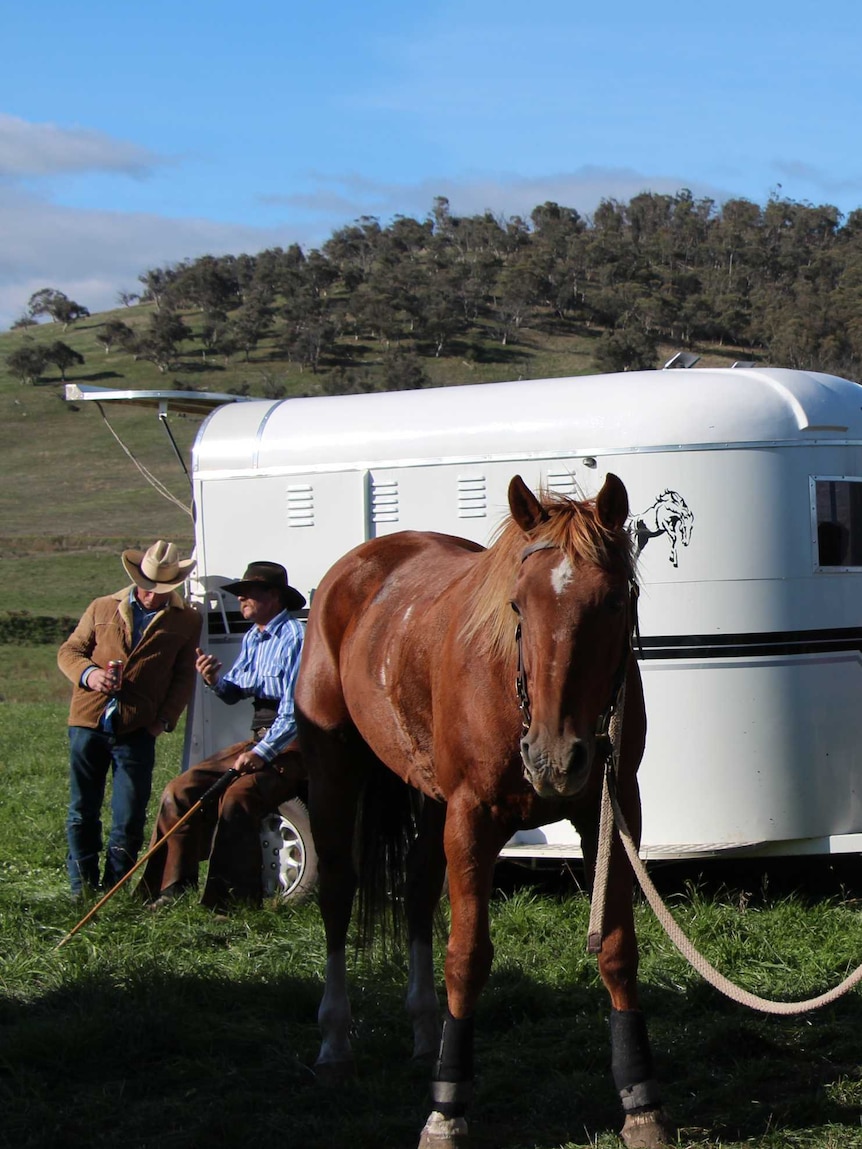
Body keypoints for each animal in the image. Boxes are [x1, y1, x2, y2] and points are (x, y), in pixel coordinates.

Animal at [296, 473, 675, 1149]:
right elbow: (466, 959)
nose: (555, 758)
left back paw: (426, 1034)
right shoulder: (471, 820)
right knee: (338, 893)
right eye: (519, 606)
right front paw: (447, 1107)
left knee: (418, 891)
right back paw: (336, 1045)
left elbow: (616, 949)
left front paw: (640, 1099)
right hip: (334, 770)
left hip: (427, 797)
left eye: (613, 603)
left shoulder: (610, 812)